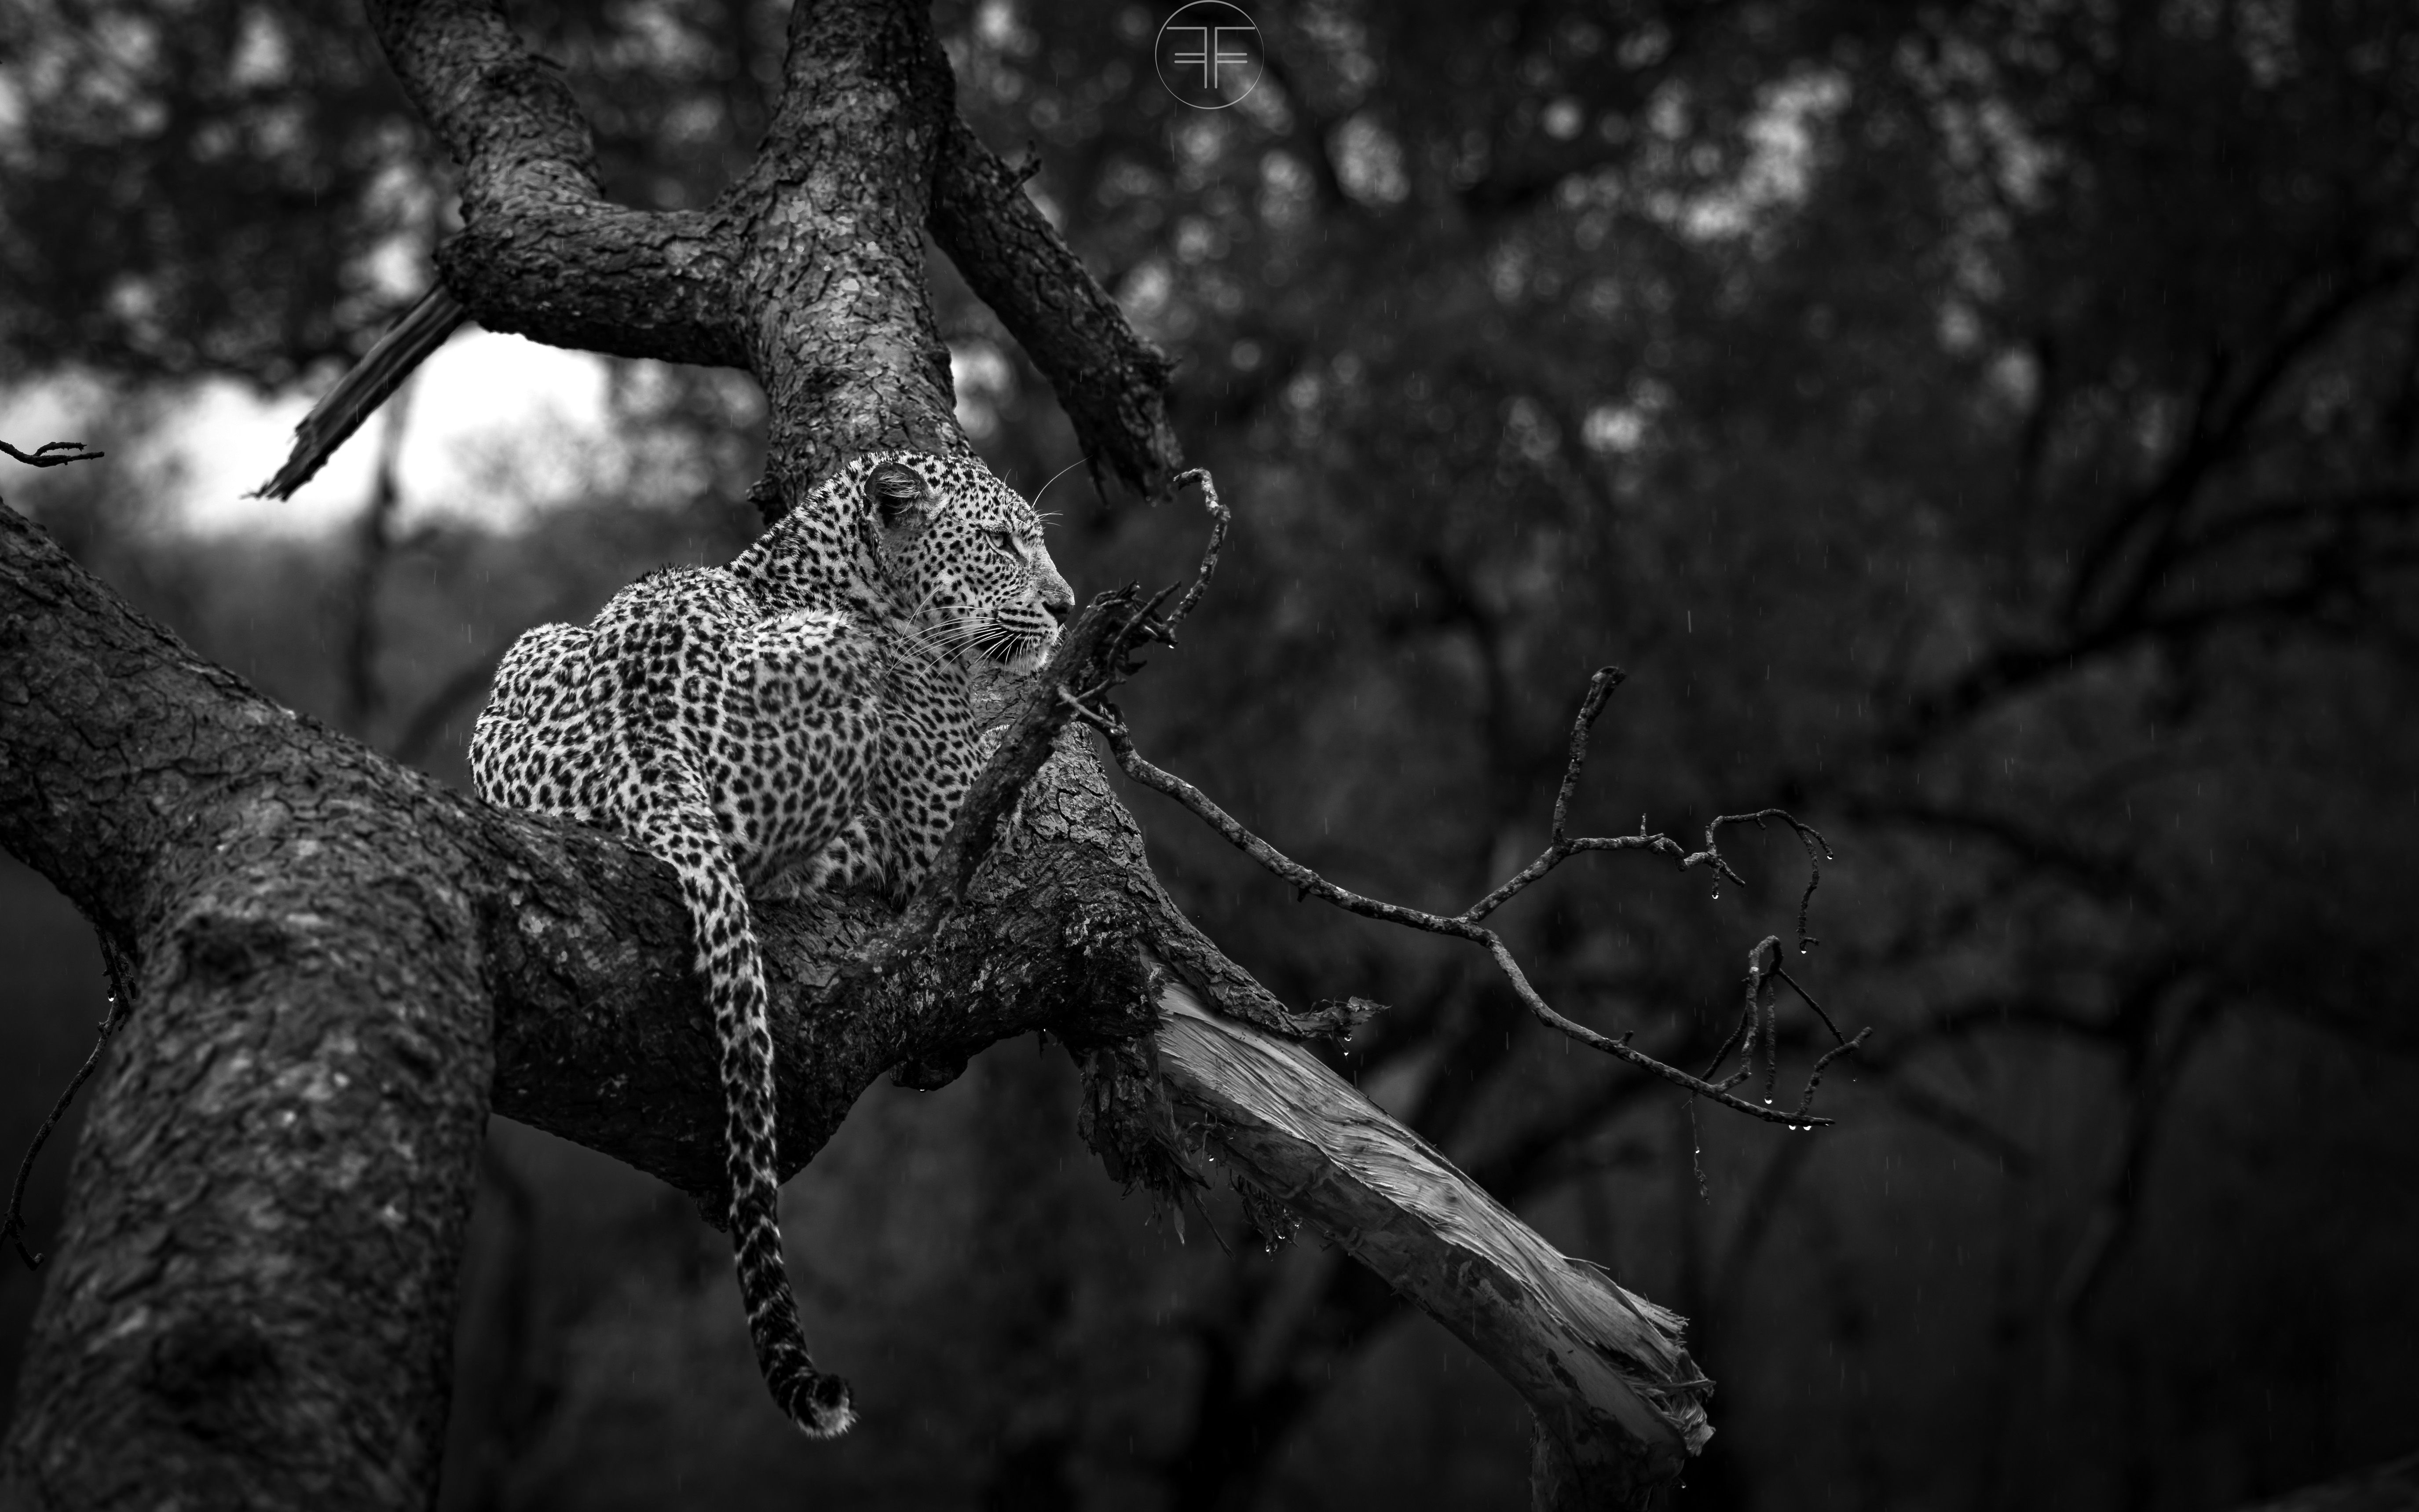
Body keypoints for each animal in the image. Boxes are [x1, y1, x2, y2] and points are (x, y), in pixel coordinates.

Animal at [469, 451, 1075, 1437]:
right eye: (999, 541)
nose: (1065, 605)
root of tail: (641, 741)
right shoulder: (950, 823)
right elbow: (1018, 766)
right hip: (830, 675)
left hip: (531, 643)